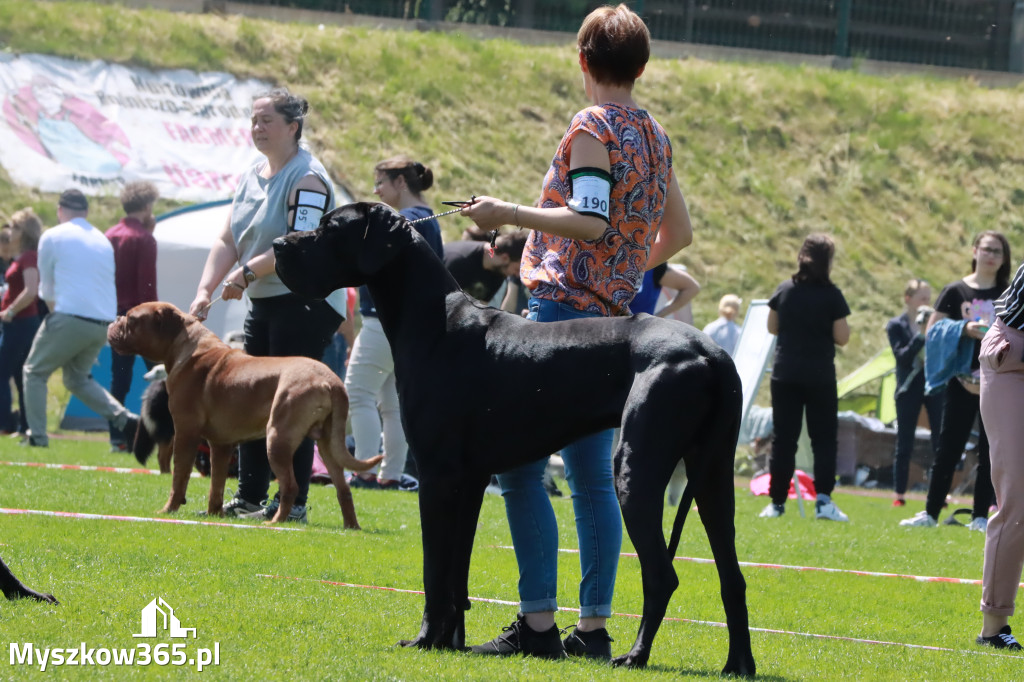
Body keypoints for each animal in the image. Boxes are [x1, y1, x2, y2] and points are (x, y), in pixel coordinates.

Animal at [108, 301, 382, 524]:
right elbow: (216, 485)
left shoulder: (185, 433)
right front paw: (214, 514)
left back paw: (276, 521)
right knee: (343, 489)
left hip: (277, 438)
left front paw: (168, 509)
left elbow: (180, 477)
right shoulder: (220, 444)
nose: (113, 322)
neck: (184, 345)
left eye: (131, 319)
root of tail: (331, 380)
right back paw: (352, 526)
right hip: (328, 443)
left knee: (291, 486)